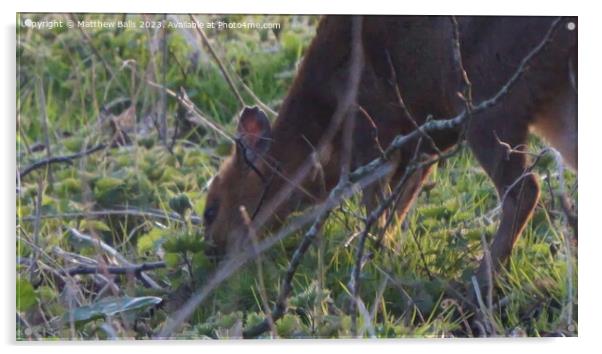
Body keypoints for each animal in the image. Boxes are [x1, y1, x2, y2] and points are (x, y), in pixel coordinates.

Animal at [202, 15, 576, 294]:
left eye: (211, 209)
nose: (212, 255)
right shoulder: (423, 144)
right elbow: (399, 205)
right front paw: (385, 251)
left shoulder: (373, 134)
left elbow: (376, 204)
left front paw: (367, 257)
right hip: (553, 104)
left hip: (489, 95)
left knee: (525, 188)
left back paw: (477, 282)